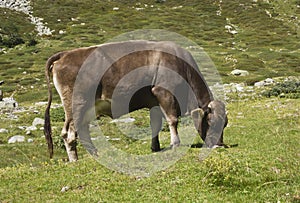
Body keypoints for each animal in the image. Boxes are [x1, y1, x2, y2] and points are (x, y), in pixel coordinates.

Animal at [44, 40, 227, 162]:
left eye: (224, 124)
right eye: (212, 122)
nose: (219, 145)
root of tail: (65, 54)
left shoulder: (154, 102)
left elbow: (156, 124)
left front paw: (156, 147)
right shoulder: (164, 92)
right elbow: (173, 120)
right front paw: (175, 144)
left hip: (88, 107)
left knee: (81, 130)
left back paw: (94, 154)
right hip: (77, 103)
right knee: (69, 133)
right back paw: (75, 159)